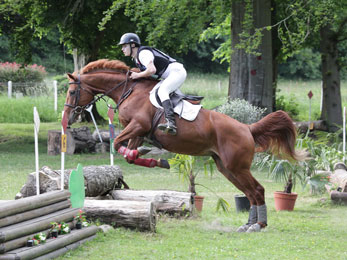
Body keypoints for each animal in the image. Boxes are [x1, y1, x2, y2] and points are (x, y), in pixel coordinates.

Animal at [64, 59, 306, 234]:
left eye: (72, 92)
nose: (69, 118)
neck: (127, 89)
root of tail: (247, 128)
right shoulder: (139, 132)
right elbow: (129, 154)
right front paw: (154, 159)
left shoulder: (138, 126)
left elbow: (116, 143)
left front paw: (153, 157)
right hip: (227, 168)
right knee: (249, 192)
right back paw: (248, 224)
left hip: (237, 167)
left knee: (256, 190)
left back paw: (257, 225)